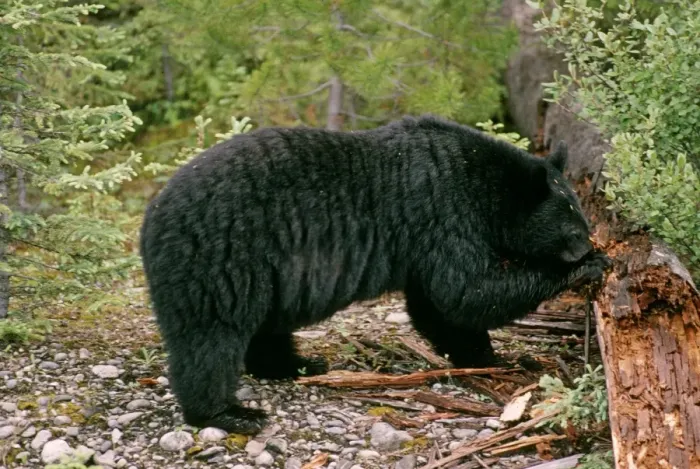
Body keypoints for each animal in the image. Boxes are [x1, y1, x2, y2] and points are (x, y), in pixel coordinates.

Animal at [139, 114, 610, 435]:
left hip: (264, 276)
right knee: (211, 339)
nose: (586, 245)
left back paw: (299, 364)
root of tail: (151, 221)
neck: (484, 183)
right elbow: (464, 292)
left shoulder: (426, 242)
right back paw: (229, 413)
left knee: (265, 328)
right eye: (574, 225)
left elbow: (439, 308)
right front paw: (583, 269)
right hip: (221, 263)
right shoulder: (443, 214)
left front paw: (481, 355)